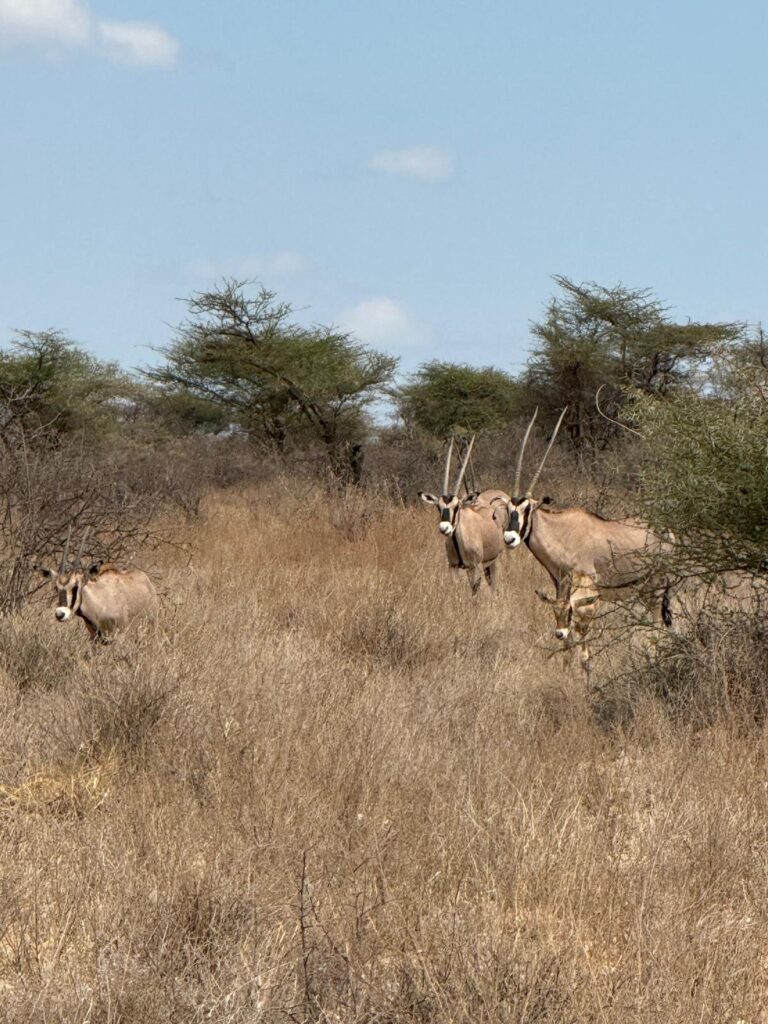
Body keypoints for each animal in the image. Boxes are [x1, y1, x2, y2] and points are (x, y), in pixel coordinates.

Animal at [419, 437, 511, 594]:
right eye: (438, 507)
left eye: (457, 507)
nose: (444, 528)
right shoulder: (453, 567)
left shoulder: (476, 566)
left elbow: (476, 592)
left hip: (493, 561)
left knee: (493, 585)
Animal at [495, 408, 673, 633]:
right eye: (509, 509)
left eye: (527, 509)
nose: (509, 538)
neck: (560, 533)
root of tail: (668, 532)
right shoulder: (560, 585)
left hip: (655, 587)